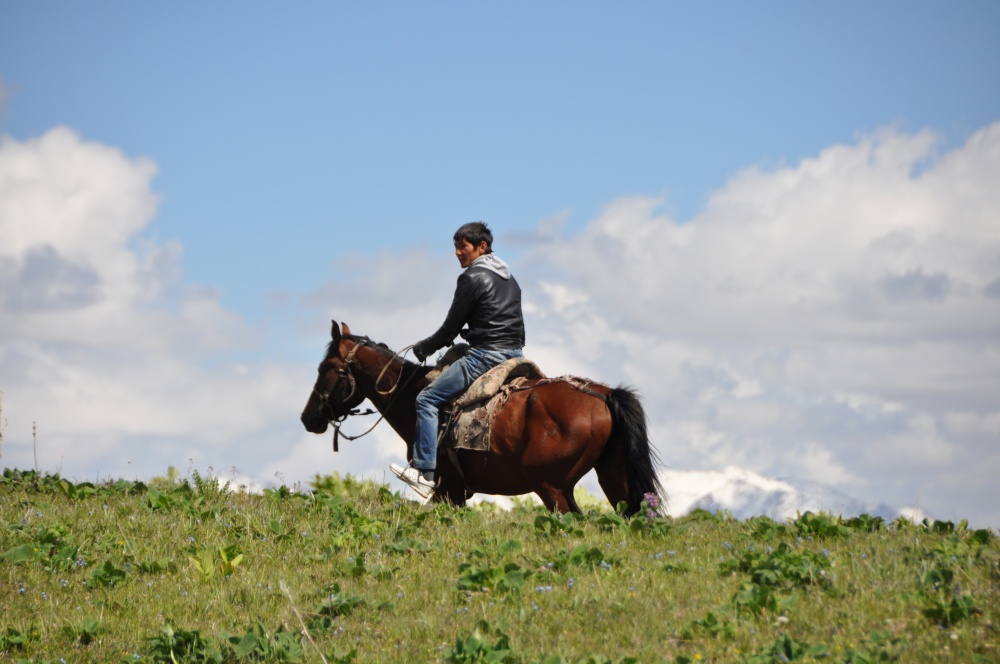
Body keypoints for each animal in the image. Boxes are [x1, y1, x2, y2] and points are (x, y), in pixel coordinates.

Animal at [300, 320, 668, 512]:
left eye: (325, 368)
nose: (308, 418)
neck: (411, 392)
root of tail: (605, 395)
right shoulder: (456, 492)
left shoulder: (448, 489)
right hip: (614, 480)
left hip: (552, 488)